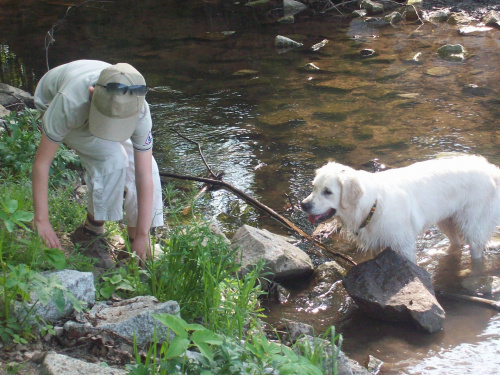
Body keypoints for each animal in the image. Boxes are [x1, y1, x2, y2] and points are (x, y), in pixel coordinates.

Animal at [300, 156, 500, 264]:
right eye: (314, 187)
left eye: (328, 192)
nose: (303, 205)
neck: (371, 206)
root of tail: (490, 167)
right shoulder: (378, 246)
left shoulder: (404, 247)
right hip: (446, 221)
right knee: (456, 243)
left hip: (474, 225)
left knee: (476, 248)